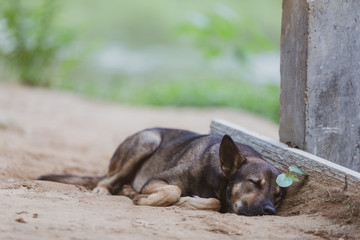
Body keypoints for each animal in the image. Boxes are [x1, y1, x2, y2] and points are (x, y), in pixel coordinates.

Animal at [39, 127, 286, 216]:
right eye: (254, 182)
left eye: (277, 196)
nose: (270, 211)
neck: (216, 176)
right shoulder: (157, 180)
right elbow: (173, 191)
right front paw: (144, 199)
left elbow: (214, 203)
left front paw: (192, 201)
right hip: (148, 139)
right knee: (108, 181)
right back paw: (108, 190)